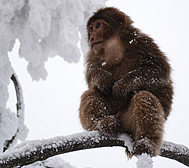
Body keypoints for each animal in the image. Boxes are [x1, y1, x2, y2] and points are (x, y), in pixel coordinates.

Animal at [79, 7, 173, 158]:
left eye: (98, 25)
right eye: (91, 28)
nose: (92, 37)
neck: (114, 47)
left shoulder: (142, 42)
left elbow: (159, 71)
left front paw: (123, 85)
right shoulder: (92, 56)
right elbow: (91, 77)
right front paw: (102, 78)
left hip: (128, 120)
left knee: (144, 96)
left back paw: (147, 143)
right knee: (91, 92)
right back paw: (104, 123)